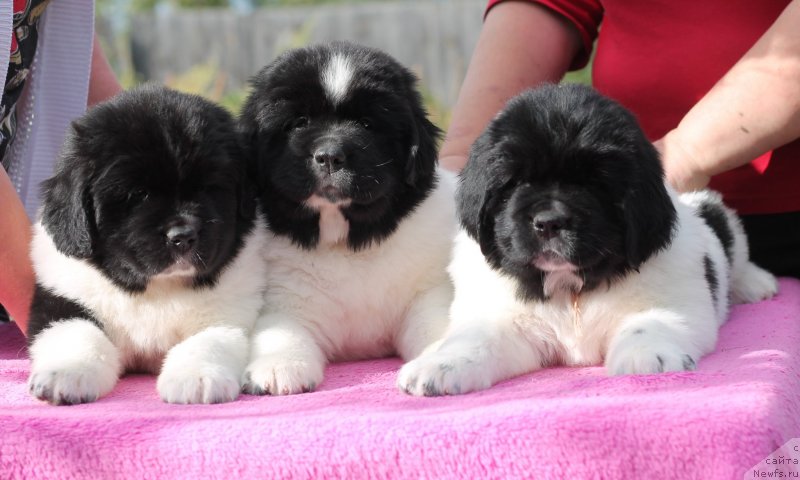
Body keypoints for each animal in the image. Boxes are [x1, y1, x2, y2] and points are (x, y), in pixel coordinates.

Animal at [25, 86, 268, 404]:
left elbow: (207, 341)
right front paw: (66, 373)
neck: (155, 289)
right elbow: (78, 332)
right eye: (138, 194)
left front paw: (196, 378)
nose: (183, 236)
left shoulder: (228, 311)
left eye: (208, 188)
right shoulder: (63, 298)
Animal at [239, 42, 456, 394]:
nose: (329, 156)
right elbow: (280, 332)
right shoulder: (285, 300)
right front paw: (277, 368)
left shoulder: (427, 291)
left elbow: (436, 324)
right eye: (299, 122)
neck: (345, 240)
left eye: (367, 124)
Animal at [396, 84, 780, 396]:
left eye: (595, 184)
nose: (550, 222)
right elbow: (475, 339)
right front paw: (438, 365)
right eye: (517, 182)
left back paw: (756, 282)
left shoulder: (673, 302)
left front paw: (646, 357)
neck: (571, 289)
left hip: (717, 213)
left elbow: (649, 323)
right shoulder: (504, 319)